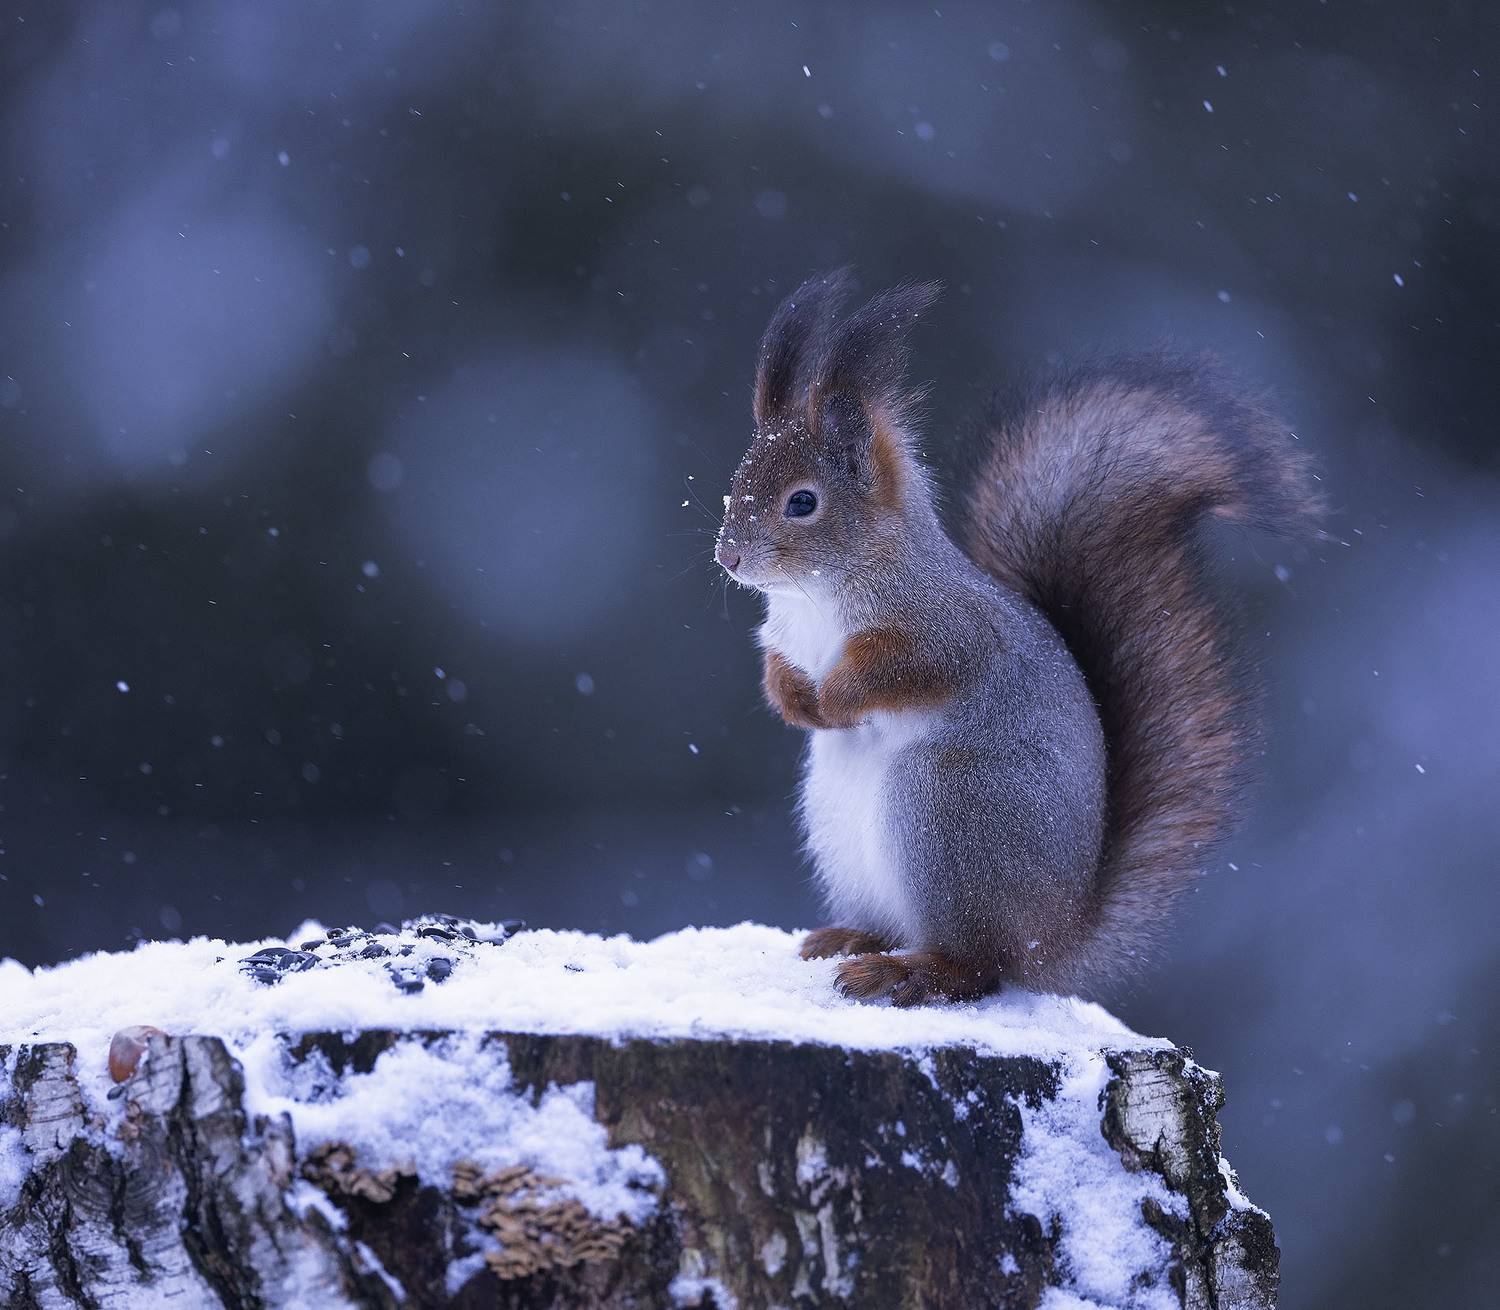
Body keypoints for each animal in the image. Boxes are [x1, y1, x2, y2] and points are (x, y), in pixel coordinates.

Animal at [714, 269, 1322, 1006]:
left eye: (802, 502)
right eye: (734, 486)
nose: (728, 558)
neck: (815, 596)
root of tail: (1053, 934)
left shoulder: (946, 632)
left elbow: (902, 670)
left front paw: (834, 700)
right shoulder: (782, 637)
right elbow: (778, 667)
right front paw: (794, 701)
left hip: (948, 810)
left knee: (975, 965)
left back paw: (903, 971)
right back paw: (851, 939)